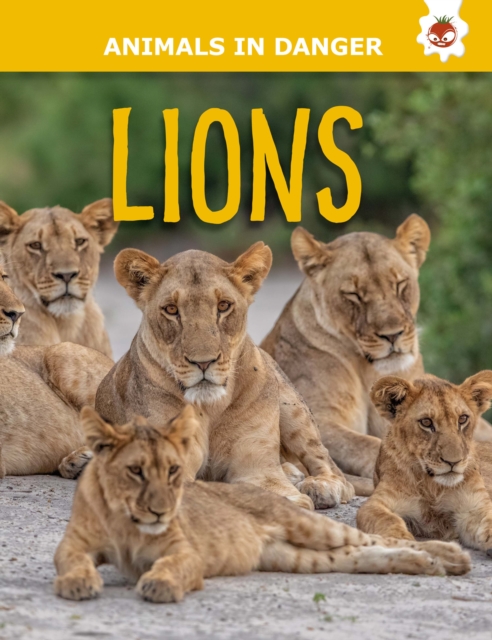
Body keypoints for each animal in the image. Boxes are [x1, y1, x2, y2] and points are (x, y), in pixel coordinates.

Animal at [54, 405, 471, 603]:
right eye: (136, 471)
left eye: (173, 470)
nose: (161, 509)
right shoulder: (72, 546)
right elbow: (71, 562)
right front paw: (77, 582)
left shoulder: (186, 552)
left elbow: (173, 565)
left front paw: (159, 584)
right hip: (295, 557)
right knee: (363, 554)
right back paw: (429, 565)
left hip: (305, 525)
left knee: (379, 539)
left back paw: (450, 556)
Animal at [95, 243, 358, 511]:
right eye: (171, 310)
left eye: (223, 306)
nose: (203, 362)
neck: (211, 407)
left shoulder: (258, 469)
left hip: (294, 409)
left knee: (334, 469)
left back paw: (321, 485)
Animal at [357, 372, 492, 553]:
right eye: (426, 422)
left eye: (462, 419)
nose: (453, 461)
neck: (432, 486)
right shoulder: (376, 503)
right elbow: (386, 519)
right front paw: (402, 541)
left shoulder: (474, 507)